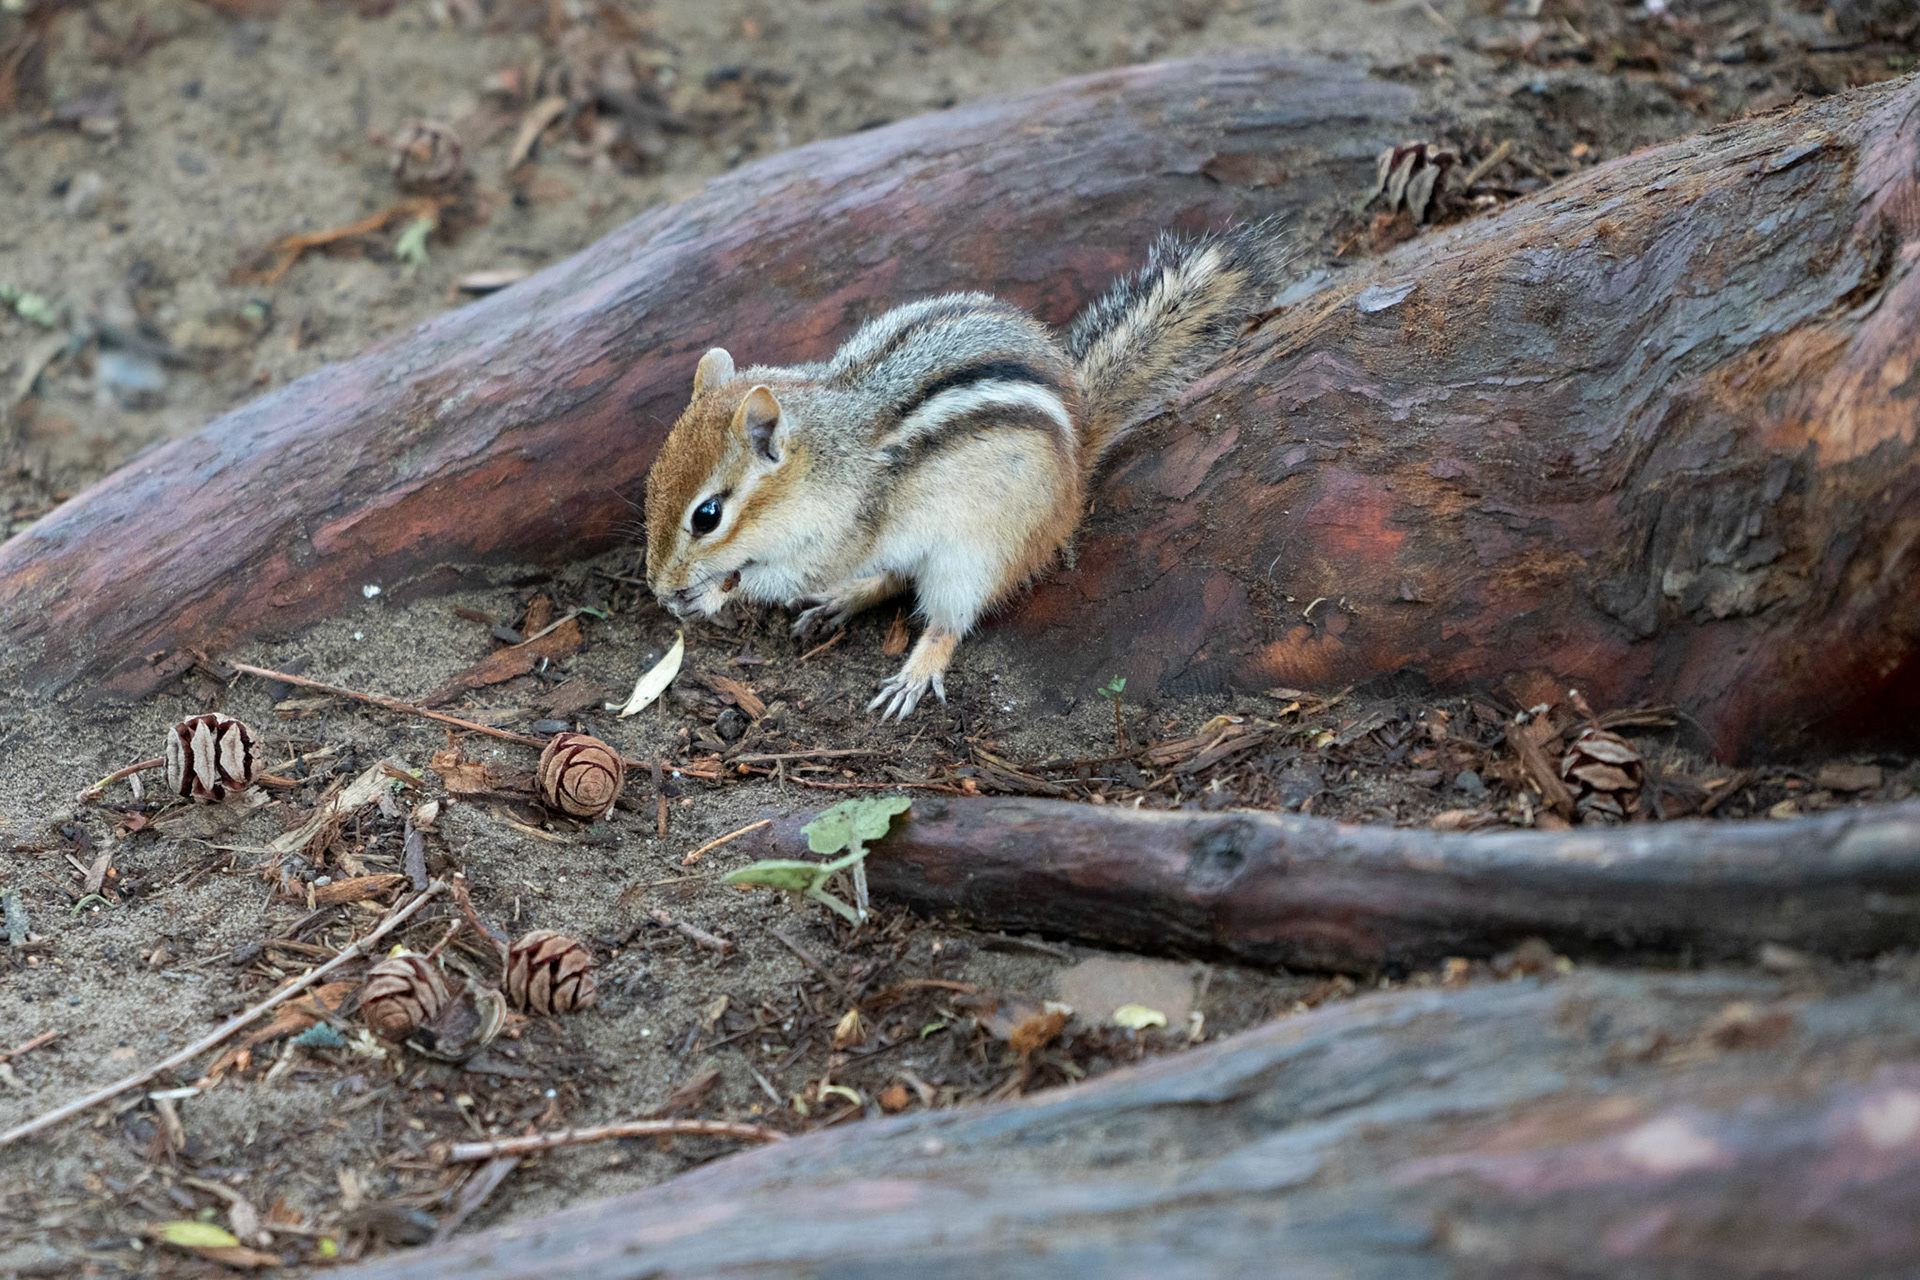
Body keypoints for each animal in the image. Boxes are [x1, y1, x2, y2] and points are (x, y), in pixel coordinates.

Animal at [643, 224, 1292, 720]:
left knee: (947, 619)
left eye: (707, 516)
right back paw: (841, 601)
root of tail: (1078, 462)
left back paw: (913, 670)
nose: (657, 586)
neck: (827, 453)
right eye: (650, 485)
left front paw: (708, 596)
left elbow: (779, 576)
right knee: (895, 577)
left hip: (976, 554)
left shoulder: (840, 533)